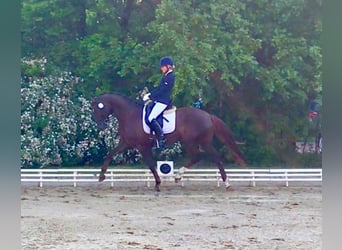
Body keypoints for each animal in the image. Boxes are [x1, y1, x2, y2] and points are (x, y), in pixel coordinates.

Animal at [91, 93, 246, 190]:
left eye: (99, 109)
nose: (101, 126)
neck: (129, 115)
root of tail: (208, 115)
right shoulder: (126, 143)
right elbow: (110, 155)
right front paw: (101, 176)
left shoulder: (142, 146)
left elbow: (151, 165)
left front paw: (158, 184)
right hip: (202, 142)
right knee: (214, 158)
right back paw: (226, 183)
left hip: (192, 142)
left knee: (199, 156)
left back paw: (179, 176)